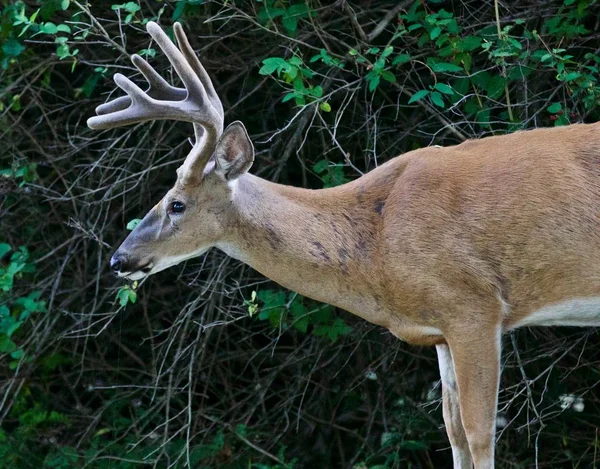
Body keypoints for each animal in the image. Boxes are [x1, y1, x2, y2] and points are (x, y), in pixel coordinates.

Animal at [86, 21, 600, 468]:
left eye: (176, 203)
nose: (118, 259)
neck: (376, 243)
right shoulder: (439, 328)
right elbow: (452, 432)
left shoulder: (475, 306)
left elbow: (478, 434)